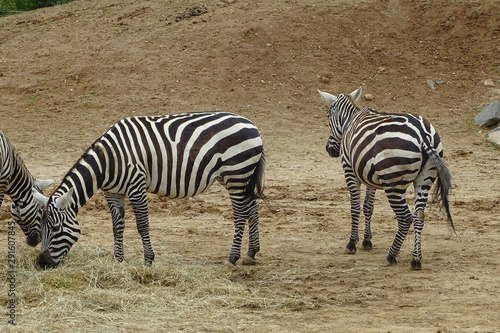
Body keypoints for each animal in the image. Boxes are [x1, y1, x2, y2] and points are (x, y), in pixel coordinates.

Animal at [33, 111, 268, 268]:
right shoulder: (112, 192)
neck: (108, 161)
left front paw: (148, 260)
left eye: (56, 228)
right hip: (236, 177)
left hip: (236, 173)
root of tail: (251, 123)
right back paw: (251, 253)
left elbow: (142, 225)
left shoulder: (136, 186)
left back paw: (232, 257)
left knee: (240, 214)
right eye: (40, 226)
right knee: (252, 208)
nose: (42, 263)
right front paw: (118, 259)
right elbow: (117, 226)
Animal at [318, 87, 456, 268]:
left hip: (393, 183)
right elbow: (368, 207)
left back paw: (392, 255)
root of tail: (423, 134)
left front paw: (352, 243)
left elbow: (355, 207)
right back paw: (416, 259)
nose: (330, 150)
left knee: (405, 217)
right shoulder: (368, 175)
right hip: (425, 178)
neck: (350, 121)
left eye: (328, 116)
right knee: (419, 215)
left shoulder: (349, 170)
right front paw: (367, 241)